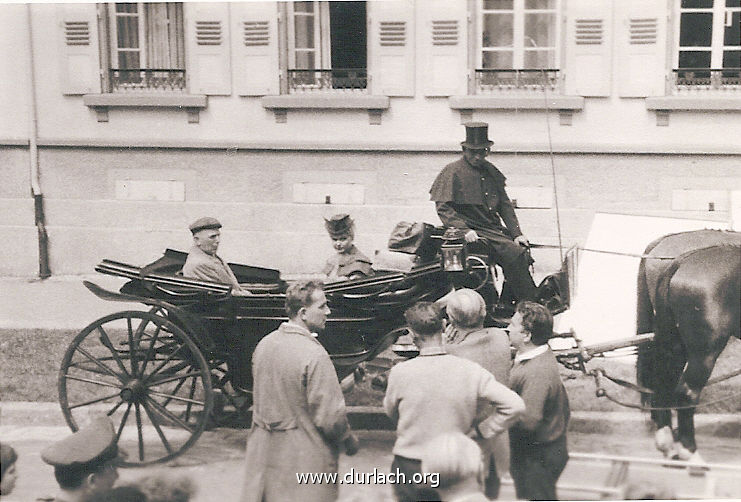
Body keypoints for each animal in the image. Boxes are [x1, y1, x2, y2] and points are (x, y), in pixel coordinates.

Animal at [632, 231, 736, 458]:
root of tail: (681, 261)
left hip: (675, 344)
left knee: (663, 384)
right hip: (704, 351)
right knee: (686, 393)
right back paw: (689, 452)